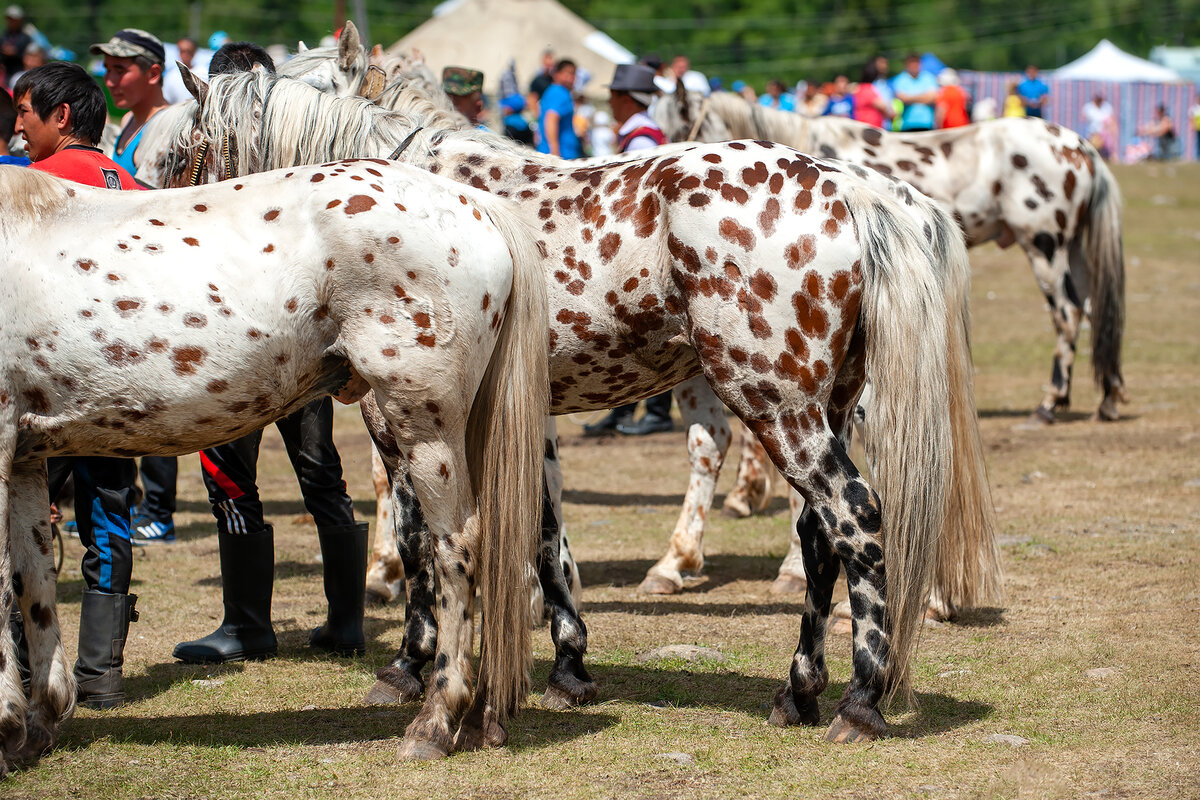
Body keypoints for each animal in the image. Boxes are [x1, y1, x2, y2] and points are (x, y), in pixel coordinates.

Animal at [0, 158, 549, 767]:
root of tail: (474, 204)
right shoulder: (24, 460)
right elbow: (32, 582)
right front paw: (38, 722)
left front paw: (8, 727)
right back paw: (483, 719)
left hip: (427, 428)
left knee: (457, 547)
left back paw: (436, 720)